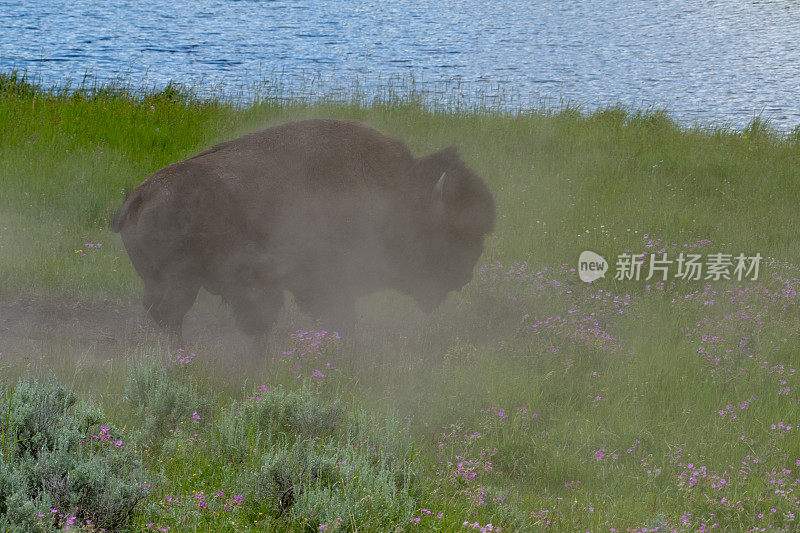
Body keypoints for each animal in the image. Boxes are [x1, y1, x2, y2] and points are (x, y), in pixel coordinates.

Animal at [111, 119, 494, 342]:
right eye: (451, 231)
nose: (464, 274)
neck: (394, 191)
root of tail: (141, 196)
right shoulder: (328, 285)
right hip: (181, 284)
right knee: (171, 317)